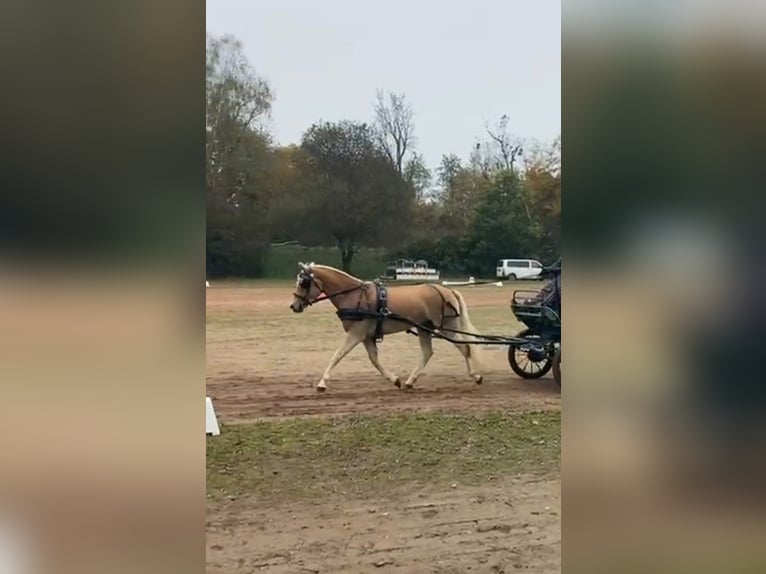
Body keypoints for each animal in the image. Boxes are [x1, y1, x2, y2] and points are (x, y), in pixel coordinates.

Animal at [292, 264, 484, 394]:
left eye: (304, 283)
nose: (294, 306)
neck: (354, 296)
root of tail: (446, 290)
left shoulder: (356, 333)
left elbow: (337, 356)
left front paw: (322, 384)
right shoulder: (367, 337)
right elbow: (374, 360)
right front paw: (395, 380)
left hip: (446, 327)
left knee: (465, 348)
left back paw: (476, 376)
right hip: (425, 328)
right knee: (428, 352)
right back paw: (409, 381)